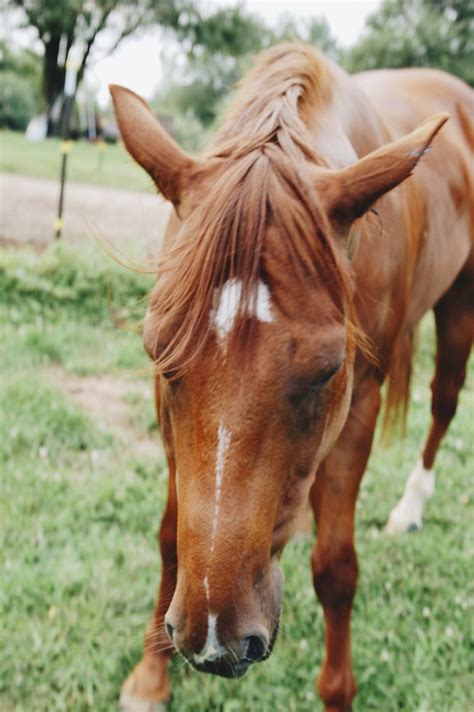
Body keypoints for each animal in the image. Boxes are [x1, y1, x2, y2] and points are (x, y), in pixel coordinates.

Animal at [112, 46, 474, 712]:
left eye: (329, 369)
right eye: (158, 350)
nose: (214, 639)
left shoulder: (358, 404)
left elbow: (335, 570)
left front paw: (338, 691)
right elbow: (172, 536)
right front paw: (150, 677)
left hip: (460, 302)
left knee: (443, 402)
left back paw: (410, 505)